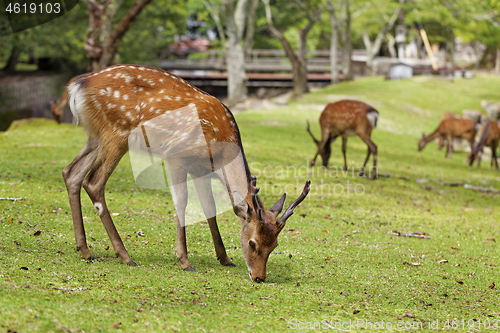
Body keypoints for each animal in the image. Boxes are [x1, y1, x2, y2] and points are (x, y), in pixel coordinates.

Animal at [64, 63, 310, 282]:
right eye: (253, 243)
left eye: (275, 244)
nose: (259, 277)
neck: (220, 151)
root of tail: (76, 86)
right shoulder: (177, 155)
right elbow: (181, 201)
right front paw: (184, 261)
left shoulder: (200, 169)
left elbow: (209, 207)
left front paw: (225, 258)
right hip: (117, 132)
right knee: (93, 182)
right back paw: (124, 255)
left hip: (95, 136)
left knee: (71, 173)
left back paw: (85, 250)